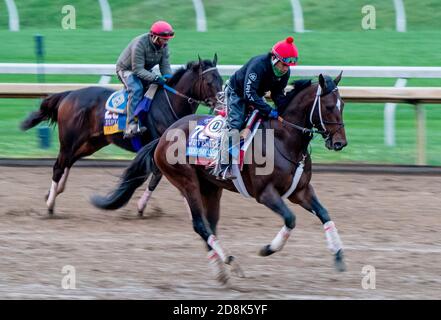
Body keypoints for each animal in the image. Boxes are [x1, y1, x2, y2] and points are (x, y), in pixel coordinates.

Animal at [20, 55, 222, 215]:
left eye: (221, 79)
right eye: (209, 81)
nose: (221, 105)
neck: (169, 103)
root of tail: (68, 95)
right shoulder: (162, 149)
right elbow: (159, 177)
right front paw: (142, 207)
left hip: (92, 142)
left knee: (69, 160)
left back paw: (55, 191)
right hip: (69, 140)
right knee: (59, 165)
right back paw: (50, 204)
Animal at [92, 73, 348, 282]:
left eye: (342, 104)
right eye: (328, 106)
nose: (340, 143)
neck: (283, 139)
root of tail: (163, 136)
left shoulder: (300, 190)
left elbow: (325, 214)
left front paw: (338, 256)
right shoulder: (265, 193)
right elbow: (290, 219)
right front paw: (267, 249)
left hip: (211, 188)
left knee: (209, 225)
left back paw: (220, 269)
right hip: (187, 182)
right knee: (199, 225)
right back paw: (229, 262)